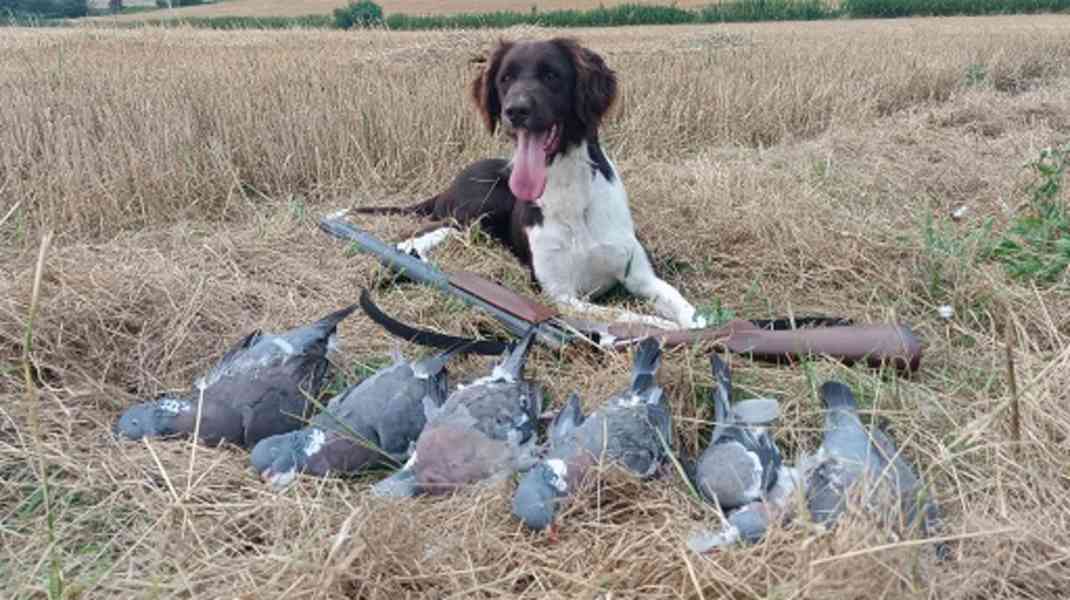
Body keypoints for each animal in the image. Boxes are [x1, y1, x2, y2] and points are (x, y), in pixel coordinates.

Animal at [355, 38, 706, 327]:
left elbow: (687, 311)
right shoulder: (559, 294)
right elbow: (626, 317)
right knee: (424, 232)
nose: (515, 111)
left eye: (551, 75)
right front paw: (660, 328)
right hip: (481, 204)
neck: (569, 188)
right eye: (505, 79)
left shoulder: (640, 275)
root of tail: (450, 185)